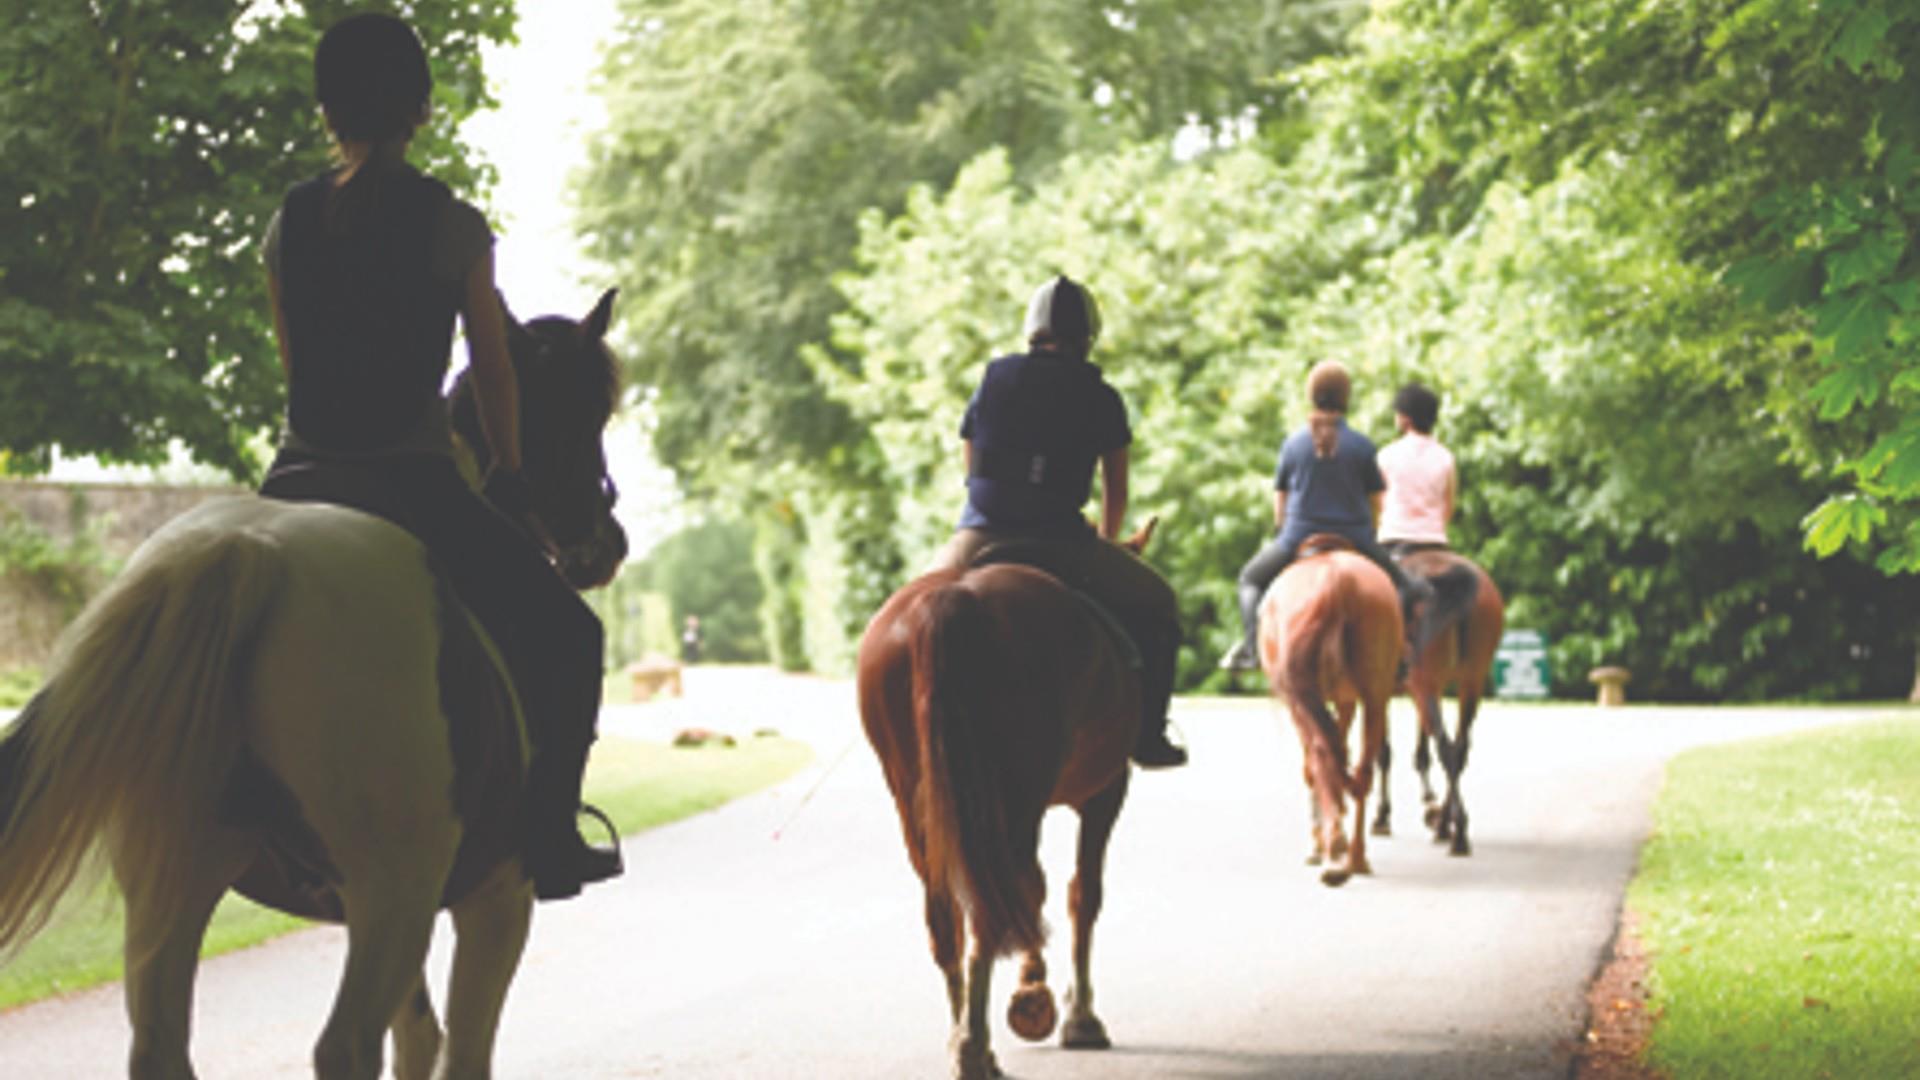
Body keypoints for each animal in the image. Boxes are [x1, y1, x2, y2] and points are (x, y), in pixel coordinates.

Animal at [860, 526, 1152, 1076]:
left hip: (919, 802)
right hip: (1015, 797)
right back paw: (975, 1045)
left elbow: (1034, 891)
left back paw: (965, 1041)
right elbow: (1082, 894)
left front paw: (1034, 995)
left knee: (949, 918)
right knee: (992, 911)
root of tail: (950, 601)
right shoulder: (1105, 791)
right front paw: (1073, 1013)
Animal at [1267, 530, 1405, 883]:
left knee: (1322, 756)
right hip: (1375, 694)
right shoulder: (1346, 700)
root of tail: (1336, 580)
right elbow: (1340, 751)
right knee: (1361, 771)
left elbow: (1314, 766)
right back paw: (1351, 856)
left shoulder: (1306, 702)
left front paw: (1318, 842)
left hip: (1305, 699)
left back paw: (1337, 851)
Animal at [1374, 549, 1505, 853]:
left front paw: (1382, 816)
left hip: (1425, 681)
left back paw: (1455, 832)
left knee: (1446, 747)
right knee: (1459, 750)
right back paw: (1447, 825)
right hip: (1471, 681)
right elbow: (1420, 750)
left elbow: (1384, 753)